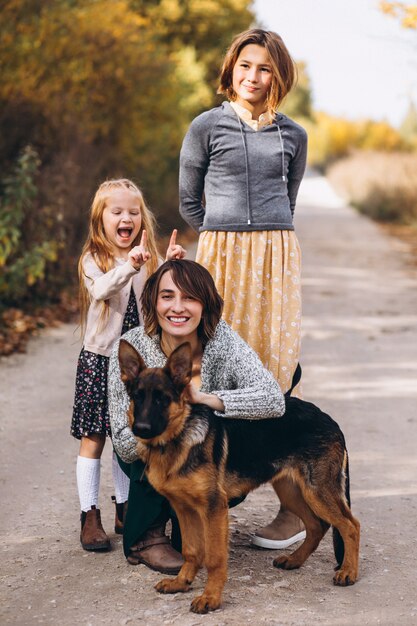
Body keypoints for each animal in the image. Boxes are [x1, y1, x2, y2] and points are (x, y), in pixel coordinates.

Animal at [118, 338, 360, 612]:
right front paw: (182, 582)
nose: (140, 429)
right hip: (291, 491)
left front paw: (211, 597)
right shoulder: (184, 509)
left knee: (350, 526)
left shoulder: (214, 508)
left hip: (317, 491)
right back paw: (295, 560)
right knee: (317, 525)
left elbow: (214, 557)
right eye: (137, 398)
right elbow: (191, 550)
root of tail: (330, 420)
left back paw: (348, 572)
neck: (177, 437)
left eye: (162, 399)